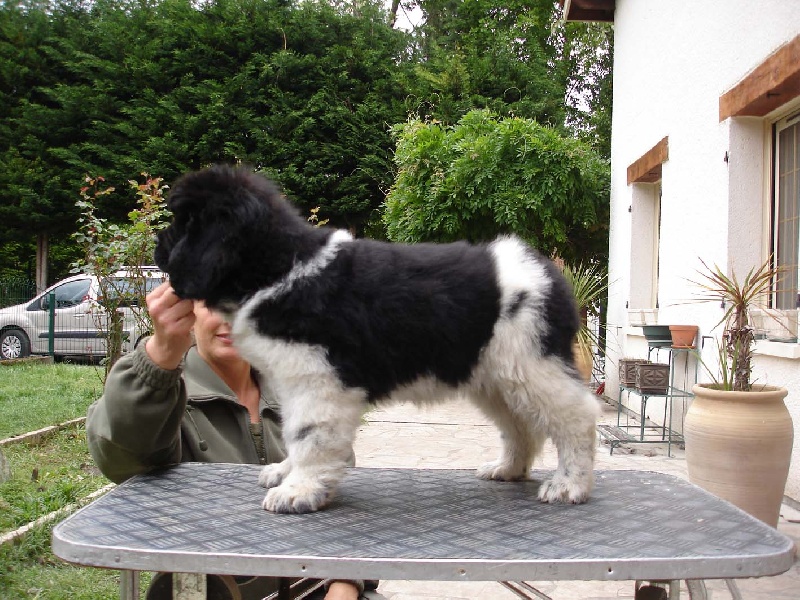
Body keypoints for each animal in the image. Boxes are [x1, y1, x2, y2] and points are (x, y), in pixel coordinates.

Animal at [153, 165, 596, 516]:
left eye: (181, 224)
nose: (157, 247)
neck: (279, 269)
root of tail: (549, 272)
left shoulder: (318, 381)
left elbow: (308, 436)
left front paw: (299, 490)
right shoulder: (293, 380)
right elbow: (295, 433)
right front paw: (287, 473)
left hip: (532, 364)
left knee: (576, 416)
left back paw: (570, 484)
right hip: (495, 376)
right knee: (520, 425)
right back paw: (508, 469)